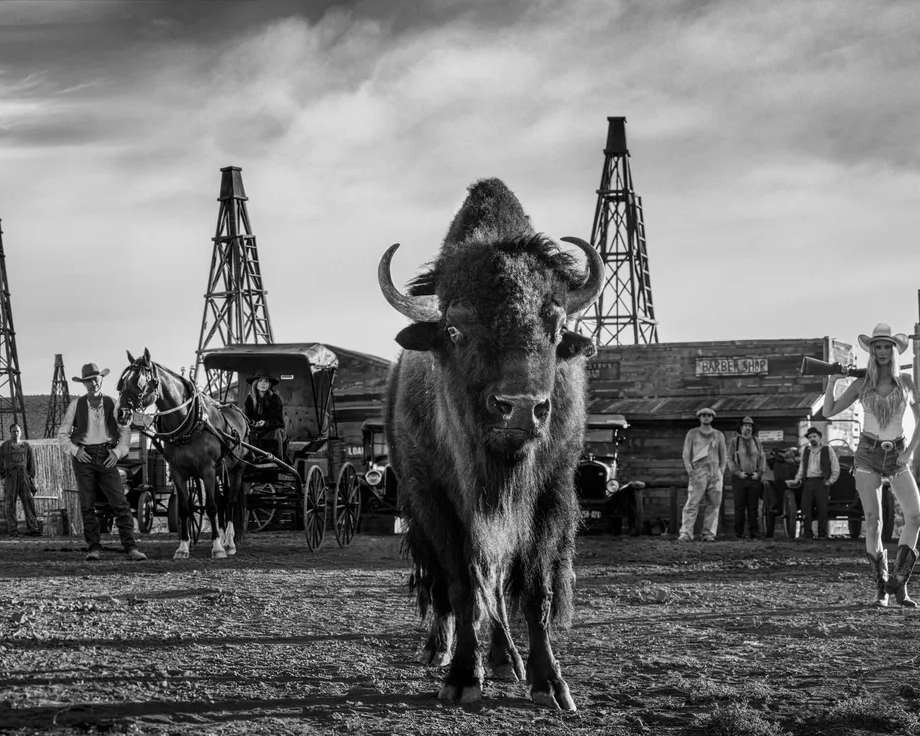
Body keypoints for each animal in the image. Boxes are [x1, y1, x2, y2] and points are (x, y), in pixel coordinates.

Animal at [378, 178, 603, 710]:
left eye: (556, 327)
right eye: (455, 329)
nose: (520, 407)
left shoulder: (547, 497)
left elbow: (534, 590)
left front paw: (549, 683)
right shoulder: (436, 500)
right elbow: (460, 586)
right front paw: (462, 677)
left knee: (497, 584)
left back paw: (504, 659)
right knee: (443, 584)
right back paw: (437, 649)